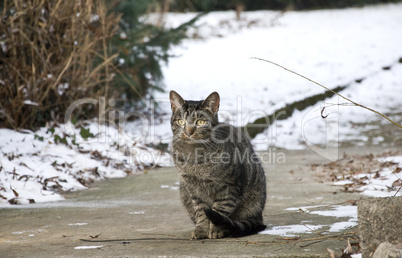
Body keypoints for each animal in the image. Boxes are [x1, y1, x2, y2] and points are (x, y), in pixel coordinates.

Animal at [169, 91, 266, 240]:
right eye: (181, 122)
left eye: (200, 122)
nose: (188, 132)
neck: (195, 156)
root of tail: (259, 216)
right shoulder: (194, 190)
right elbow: (201, 212)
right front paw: (201, 229)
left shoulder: (229, 186)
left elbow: (219, 210)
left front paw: (215, 229)